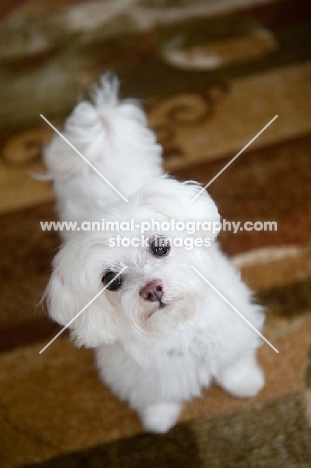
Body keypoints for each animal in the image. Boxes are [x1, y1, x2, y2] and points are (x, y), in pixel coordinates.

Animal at [44, 74, 266, 436]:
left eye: (160, 247)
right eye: (111, 280)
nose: (152, 289)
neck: (175, 329)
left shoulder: (231, 328)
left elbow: (234, 362)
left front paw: (245, 383)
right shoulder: (139, 378)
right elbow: (156, 398)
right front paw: (159, 420)